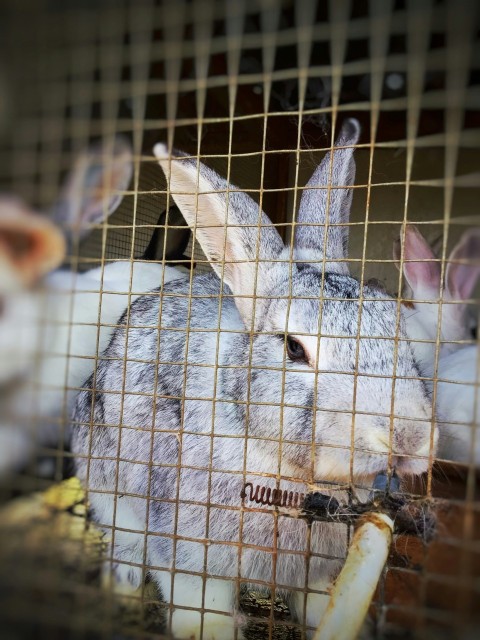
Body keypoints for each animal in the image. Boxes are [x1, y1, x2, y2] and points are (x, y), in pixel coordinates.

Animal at [72, 121, 438, 640]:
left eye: (399, 329)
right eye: (293, 348)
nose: (408, 437)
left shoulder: (318, 571)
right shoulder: (188, 549)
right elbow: (199, 606)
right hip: (105, 483)